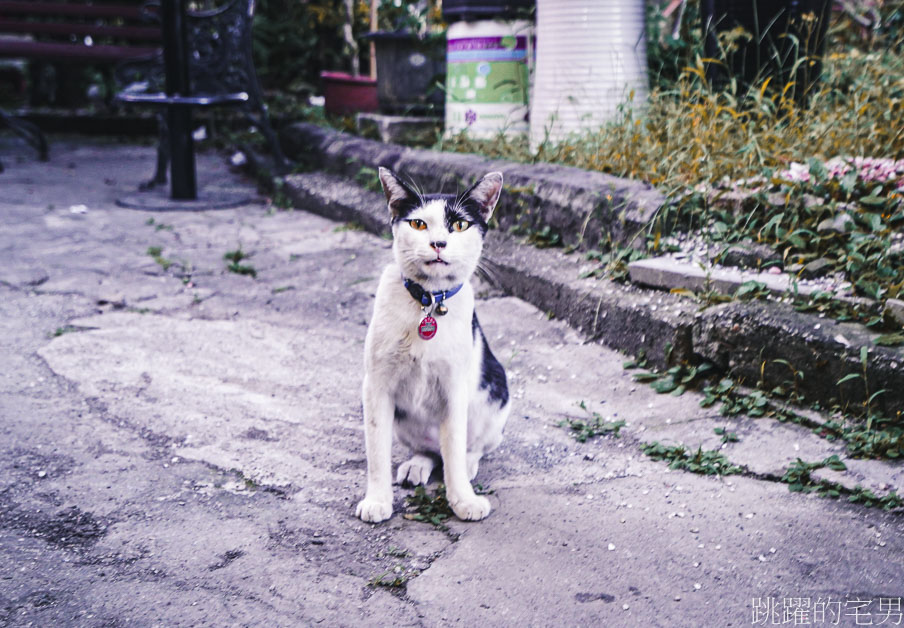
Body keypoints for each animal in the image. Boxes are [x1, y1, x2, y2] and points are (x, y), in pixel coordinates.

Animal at [356, 168, 512, 524]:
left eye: (460, 225)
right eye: (418, 224)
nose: (438, 243)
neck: (428, 301)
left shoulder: (455, 388)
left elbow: (453, 448)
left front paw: (463, 500)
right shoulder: (376, 387)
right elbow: (376, 451)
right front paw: (377, 499)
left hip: (495, 397)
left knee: (468, 447)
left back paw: (468, 464)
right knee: (428, 449)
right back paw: (418, 464)